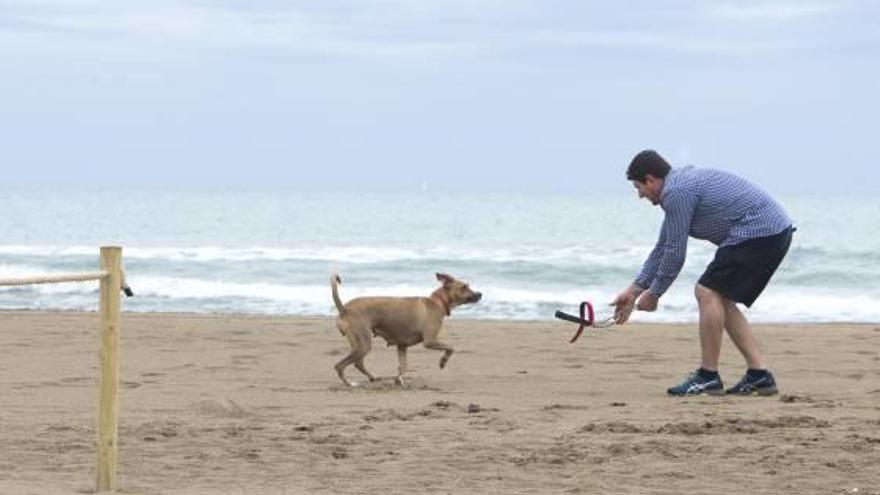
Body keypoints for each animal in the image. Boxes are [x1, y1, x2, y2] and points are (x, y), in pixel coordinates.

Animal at [330, 274, 482, 386]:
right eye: (464, 287)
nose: (480, 294)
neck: (437, 302)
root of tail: (344, 309)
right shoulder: (430, 341)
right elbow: (451, 347)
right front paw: (443, 361)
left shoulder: (402, 346)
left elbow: (403, 365)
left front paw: (399, 379)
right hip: (363, 343)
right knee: (340, 366)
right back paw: (349, 383)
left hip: (359, 344)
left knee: (358, 363)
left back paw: (373, 377)